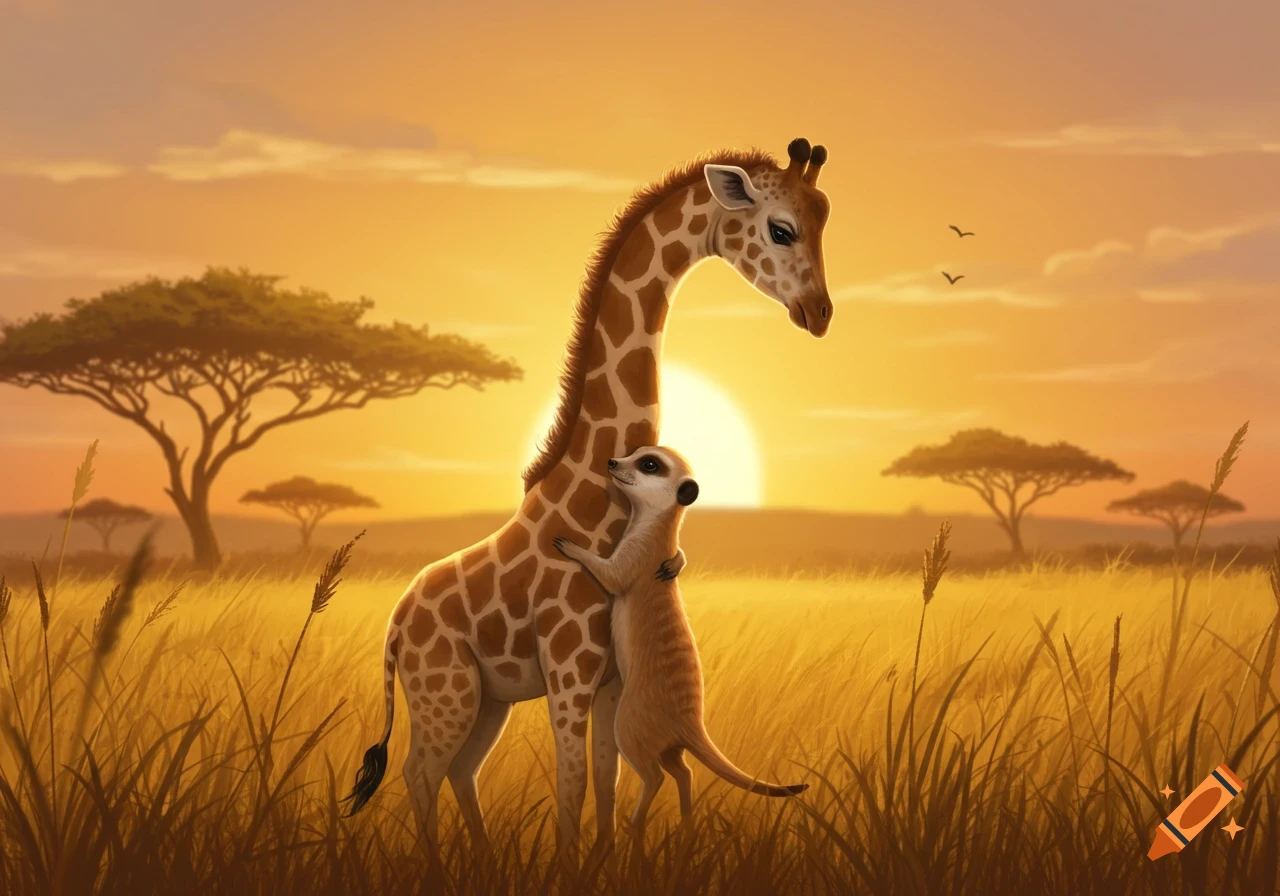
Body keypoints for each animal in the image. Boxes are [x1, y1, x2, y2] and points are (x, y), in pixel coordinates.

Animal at [343, 137, 834, 860]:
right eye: (780, 228)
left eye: (826, 222)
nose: (819, 313)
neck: (596, 502)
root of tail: (396, 624)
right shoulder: (569, 675)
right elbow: (572, 789)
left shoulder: (608, 681)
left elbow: (603, 783)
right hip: (444, 690)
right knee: (418, 772)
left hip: (487, 699)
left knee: (460, 771)